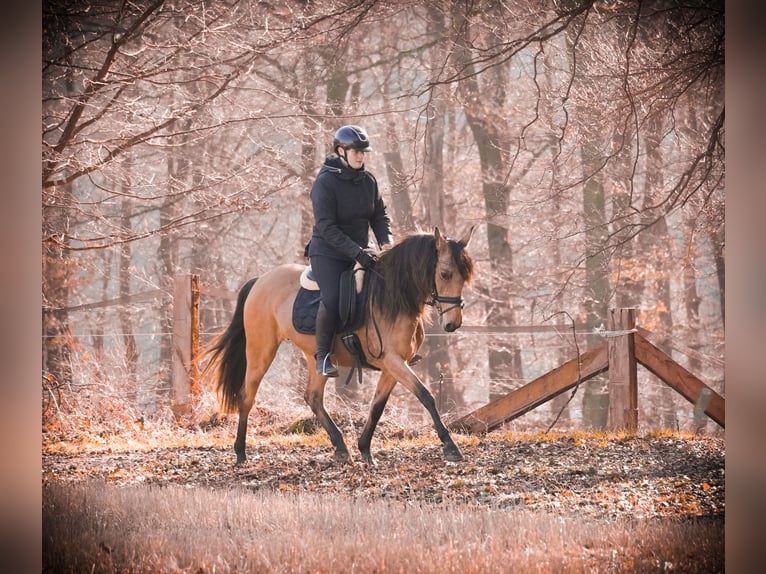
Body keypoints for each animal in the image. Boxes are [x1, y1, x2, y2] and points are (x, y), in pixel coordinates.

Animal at [204, 227, 476, 466]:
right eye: (445, 274)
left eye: (464, 277)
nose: (453, 324)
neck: (393, 295)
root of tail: (260, 280)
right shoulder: (392, 360)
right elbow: (426, 396)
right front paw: (450, 446)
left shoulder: (394, 365)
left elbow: (377, 406)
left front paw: (365, 449)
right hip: (262, 349)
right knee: (247, 395)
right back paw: (241, 452)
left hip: (316, 357)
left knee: (313, 397)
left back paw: (341, 447)